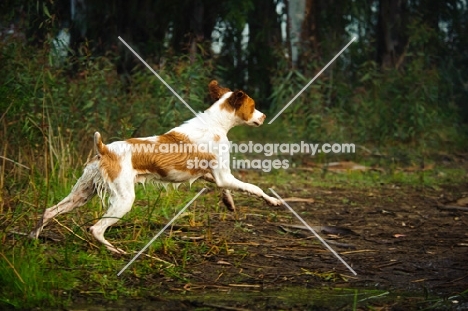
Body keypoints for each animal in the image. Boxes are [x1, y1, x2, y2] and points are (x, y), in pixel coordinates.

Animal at [33, 80, 284, 254]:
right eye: (253, 106)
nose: (264, 116)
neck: (215, 123)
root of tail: (105, 150)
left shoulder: (212, 174)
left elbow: (225, 188)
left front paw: (229, 203)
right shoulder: (223, 175)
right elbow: (254, 188)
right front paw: (273, 201)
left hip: (81, 194)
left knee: (49, 211)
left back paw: (33, 238)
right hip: (123, 200)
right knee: (96, 229)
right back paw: (117, 251)